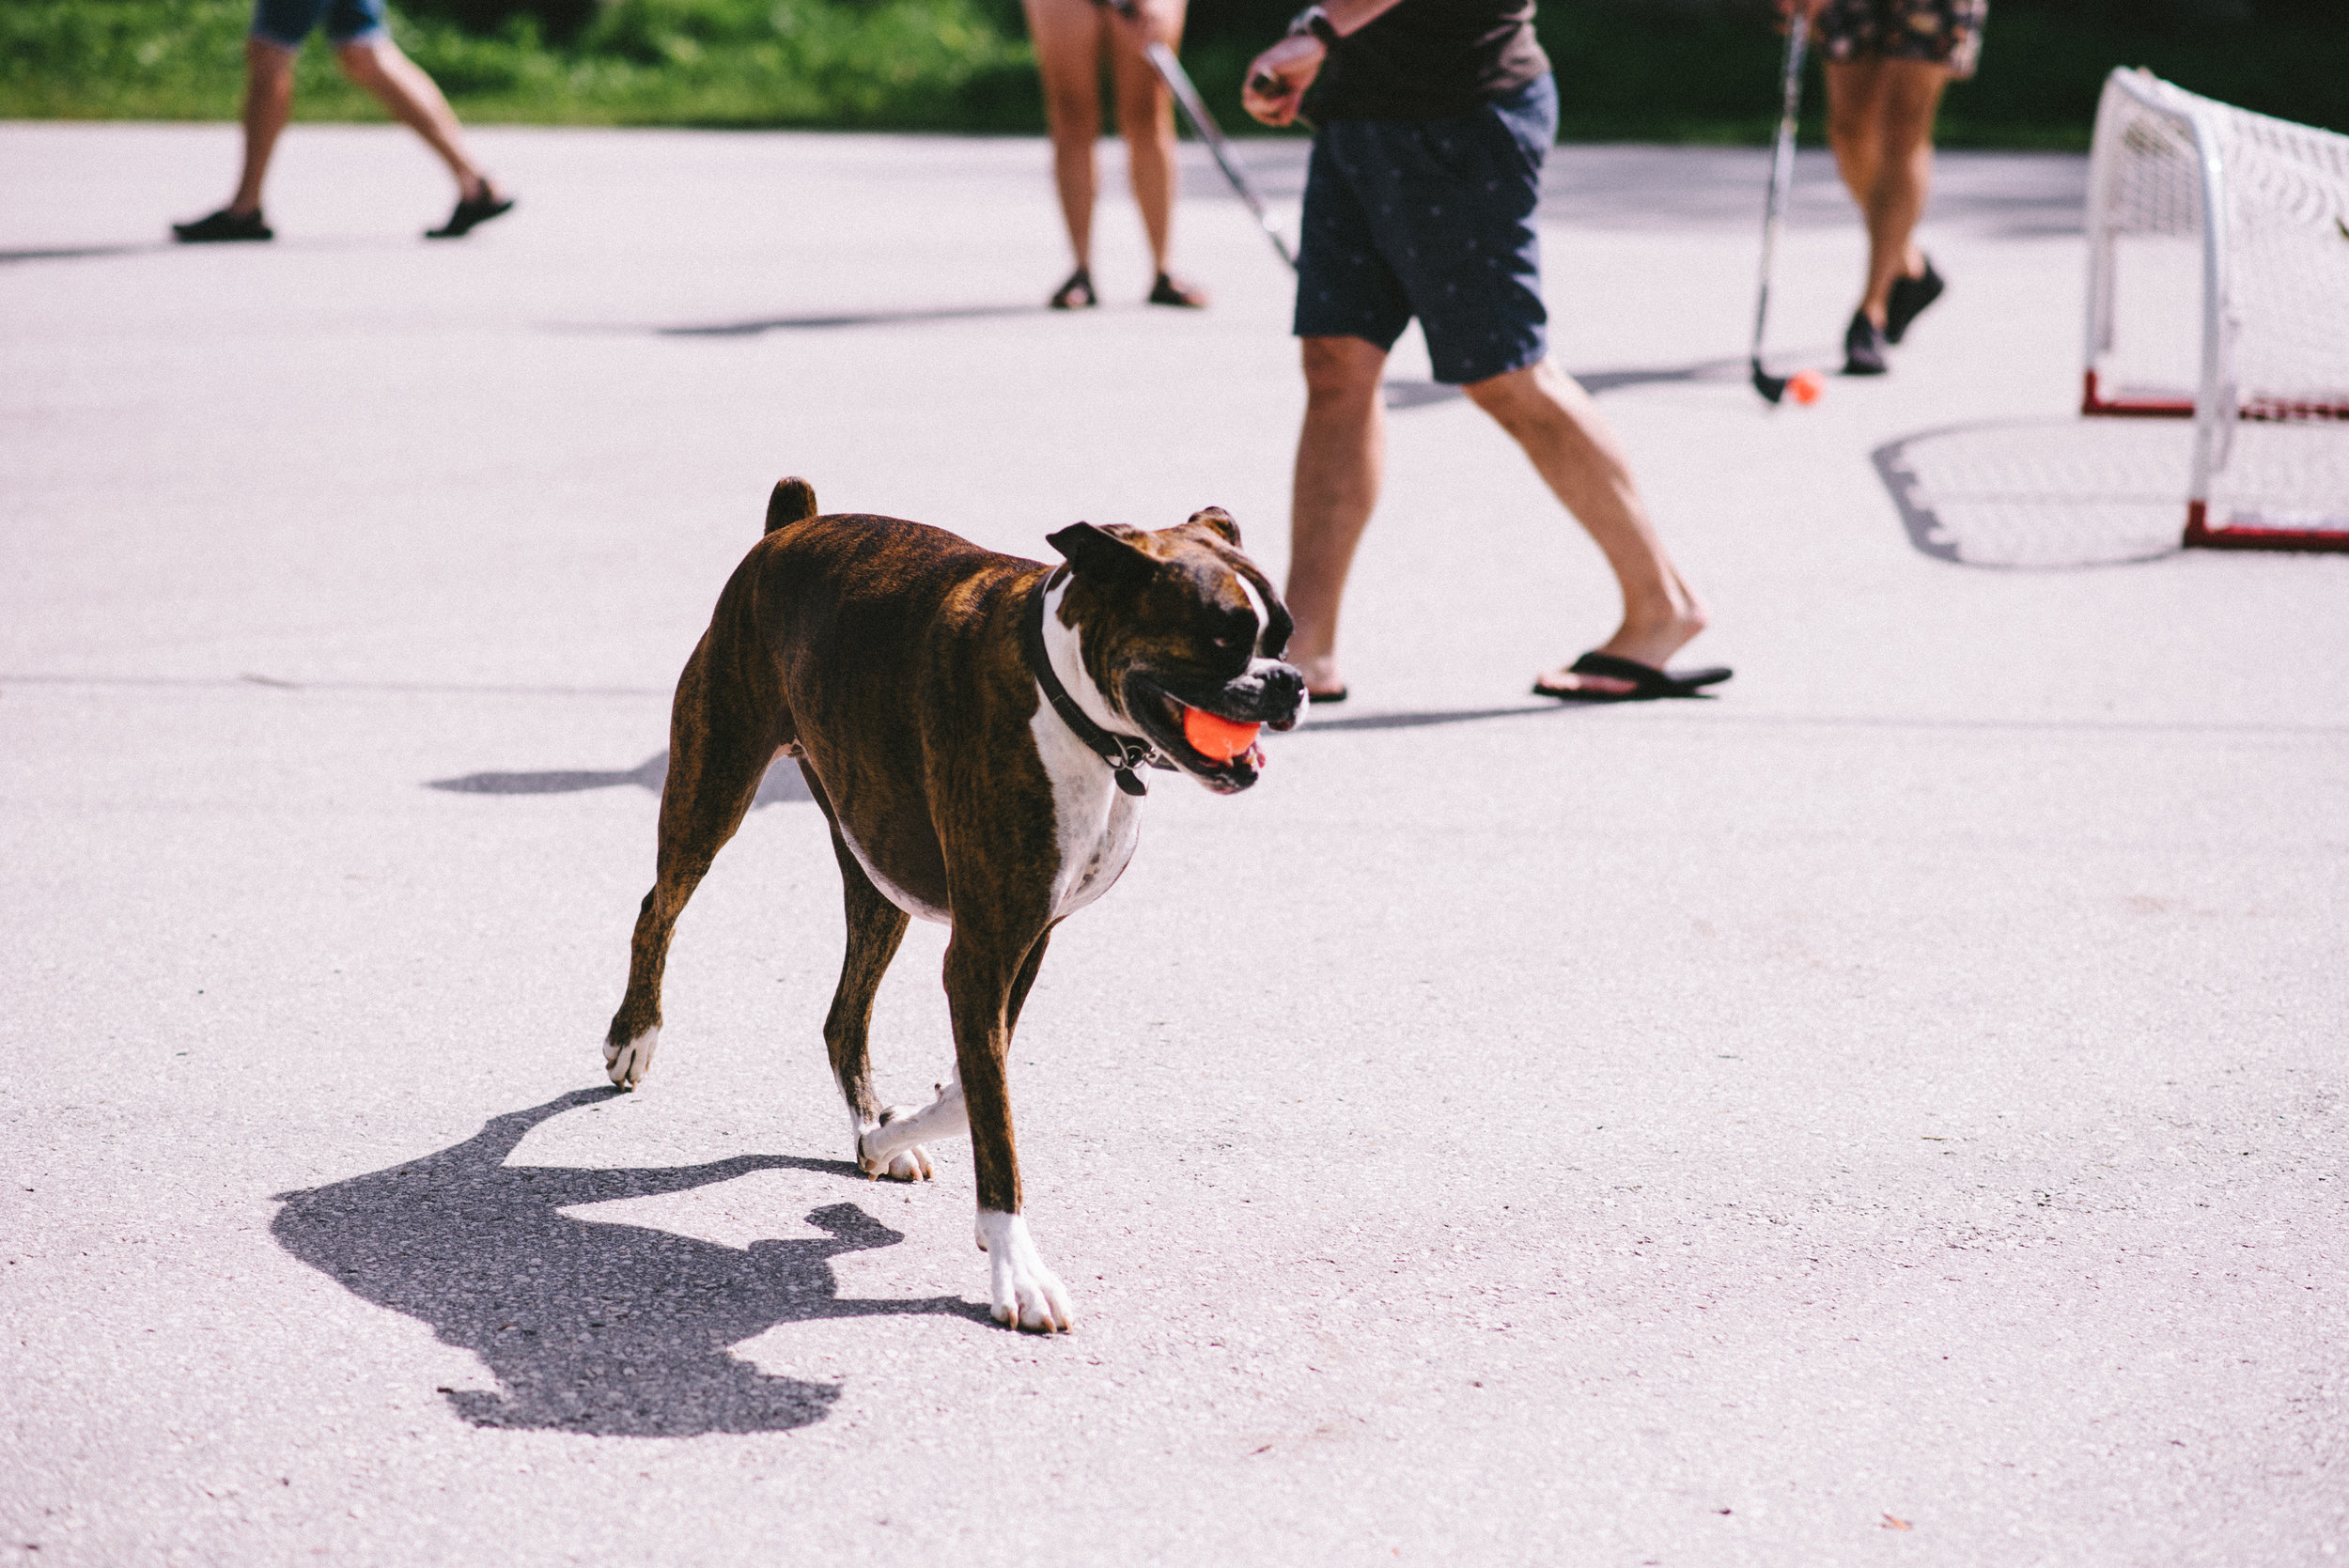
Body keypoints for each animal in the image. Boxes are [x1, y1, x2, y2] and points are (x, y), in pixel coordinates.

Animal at [601, 481, 1306, 1333]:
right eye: (1221, 638)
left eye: (1284, 633)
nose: (1289, 680)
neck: (1064, 697)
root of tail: (790, 528)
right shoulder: (982, 954)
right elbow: (994, 1114)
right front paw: (1018, 1269)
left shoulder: (1020, 943)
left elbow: (977, 1089)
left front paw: (891, 1134)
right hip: (713, 792)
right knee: (657, 908)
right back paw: (634, 1035)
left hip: (879, 876)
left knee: (843, 1017)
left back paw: (872, 1123)